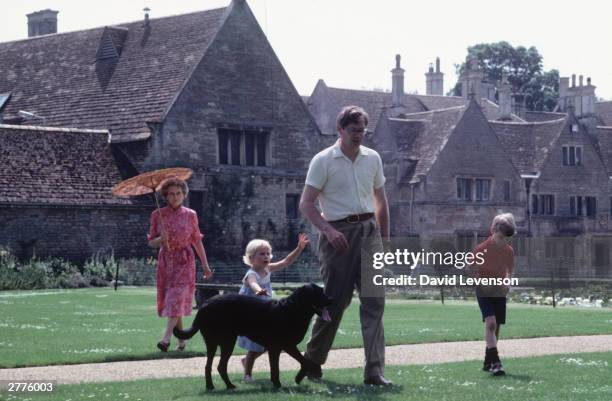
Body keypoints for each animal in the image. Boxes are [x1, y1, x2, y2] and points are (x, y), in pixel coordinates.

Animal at [175, 282, 332, 388]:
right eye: (318, 293)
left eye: (323, 291)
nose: (331, 300)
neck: (293, 309)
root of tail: (204, 305)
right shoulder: (278, 347)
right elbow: (276, 368)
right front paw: (279, 384)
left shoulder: (287, 346)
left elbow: (304, 362)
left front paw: (297, 378)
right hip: (223, 342)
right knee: (215, 366)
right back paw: (217, 386)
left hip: (220, 342)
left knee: (216, 366)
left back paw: (225, 386)